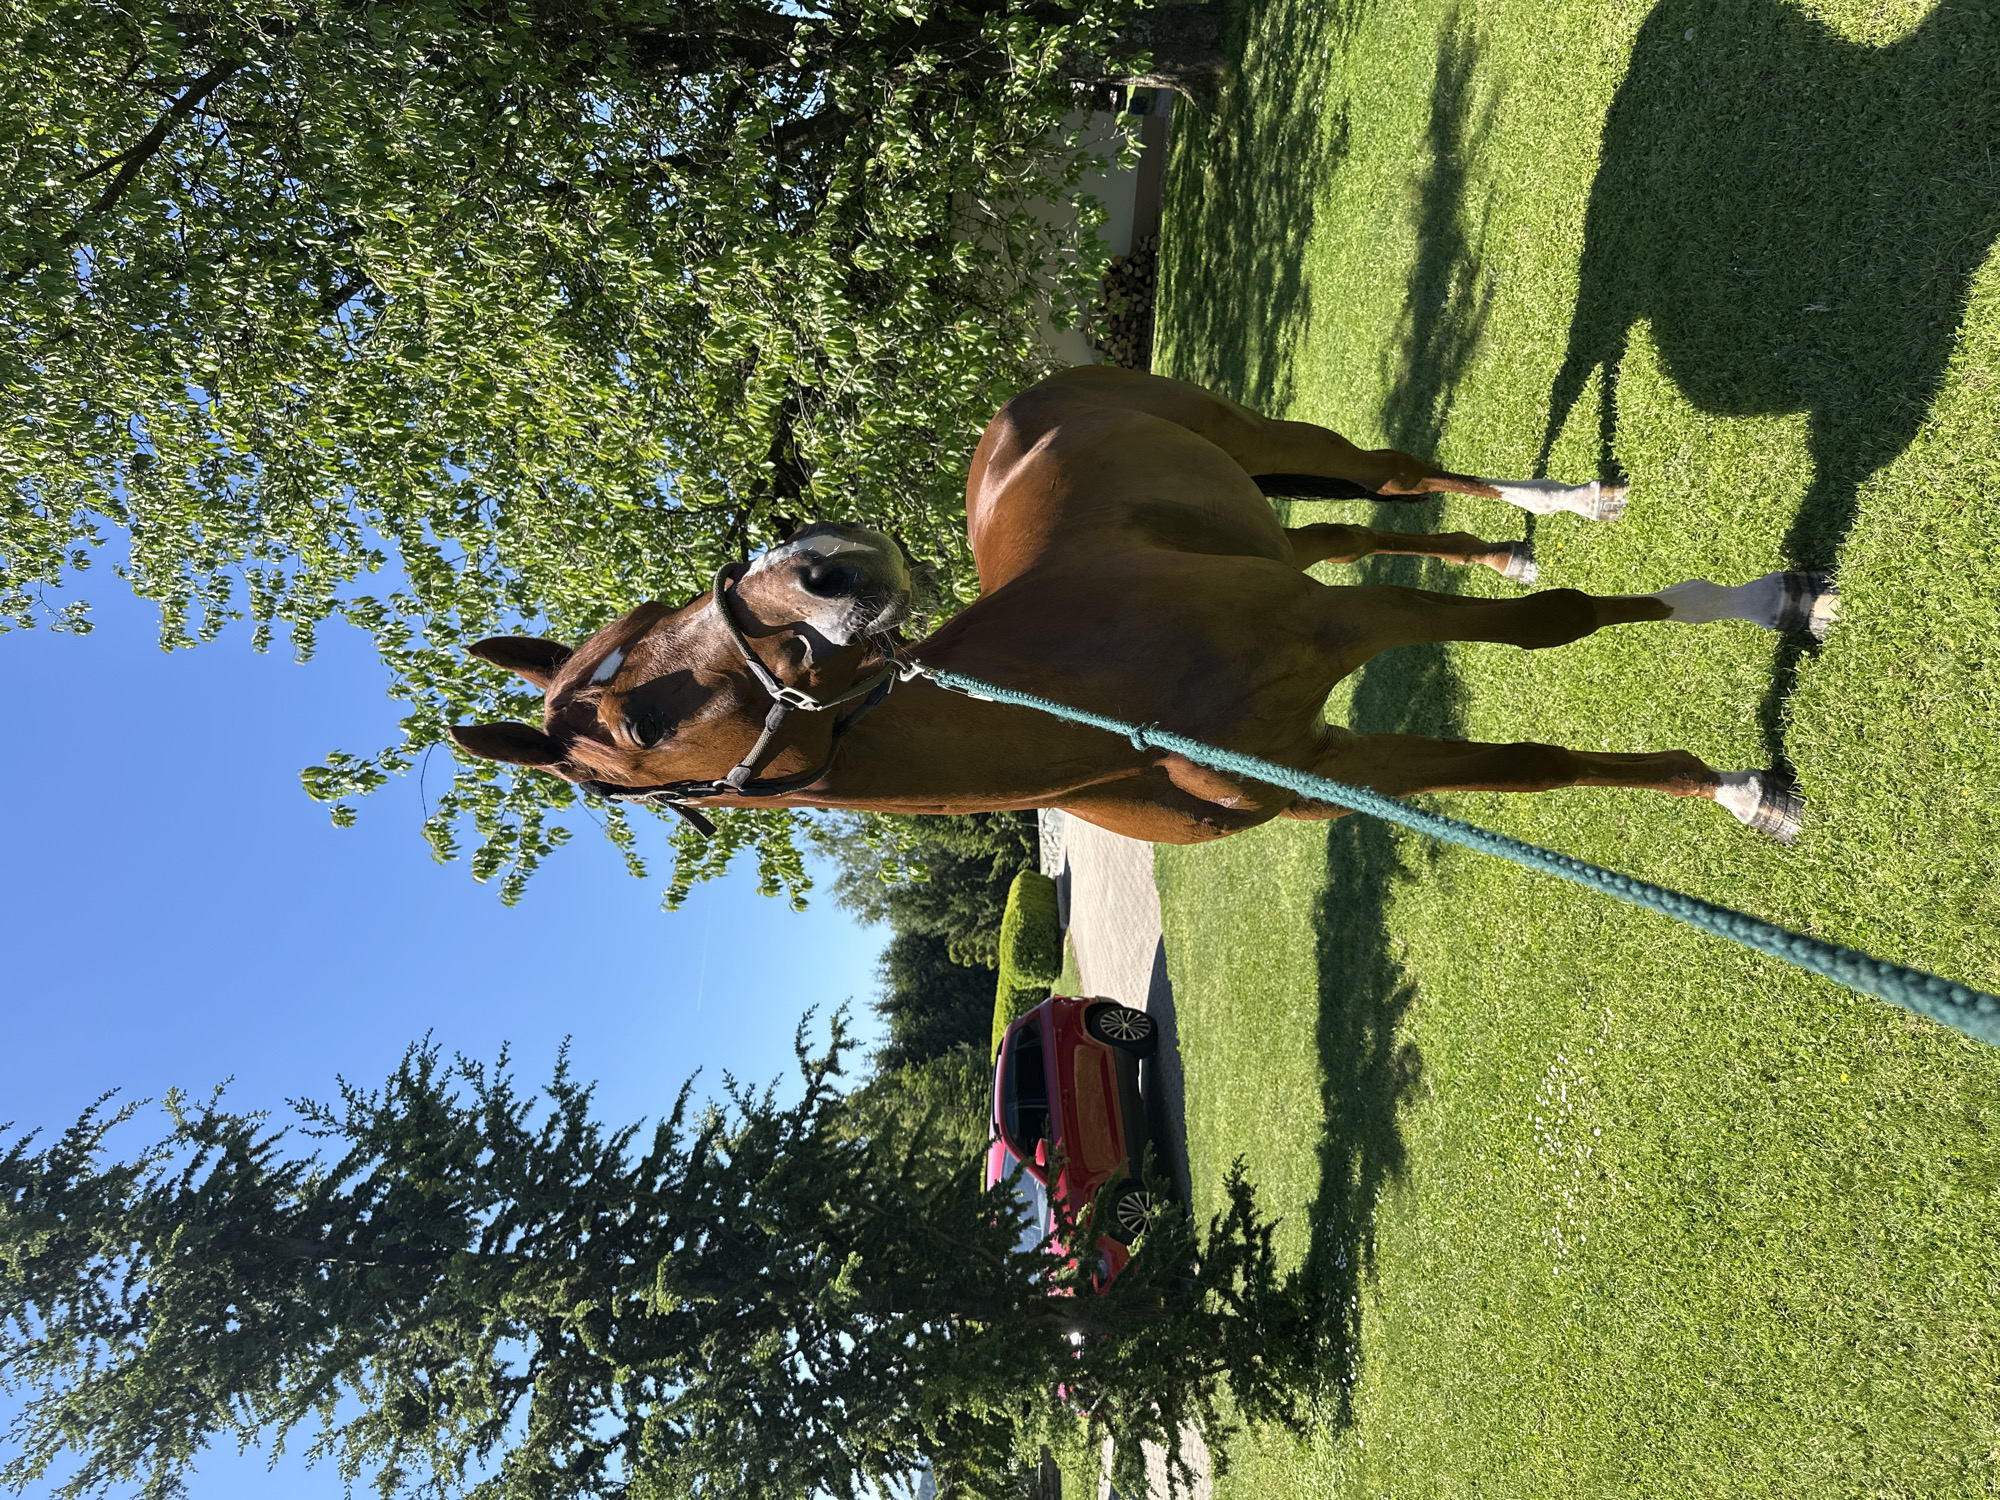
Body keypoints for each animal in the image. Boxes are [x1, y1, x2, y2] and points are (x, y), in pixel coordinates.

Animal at [449, 365, 1834, 845]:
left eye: (661, 614)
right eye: (634, 725)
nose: (821, 563)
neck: (1104, 716)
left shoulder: (1347, 632)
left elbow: (1562, 633)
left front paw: (1772, 621)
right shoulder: (1335, 762)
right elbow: (1528, 768)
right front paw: (1735, 787)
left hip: (1261, 435)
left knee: (1391, 473)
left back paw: (1572, 504)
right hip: (1265, 516)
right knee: (1349, 526)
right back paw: (1499, 550)